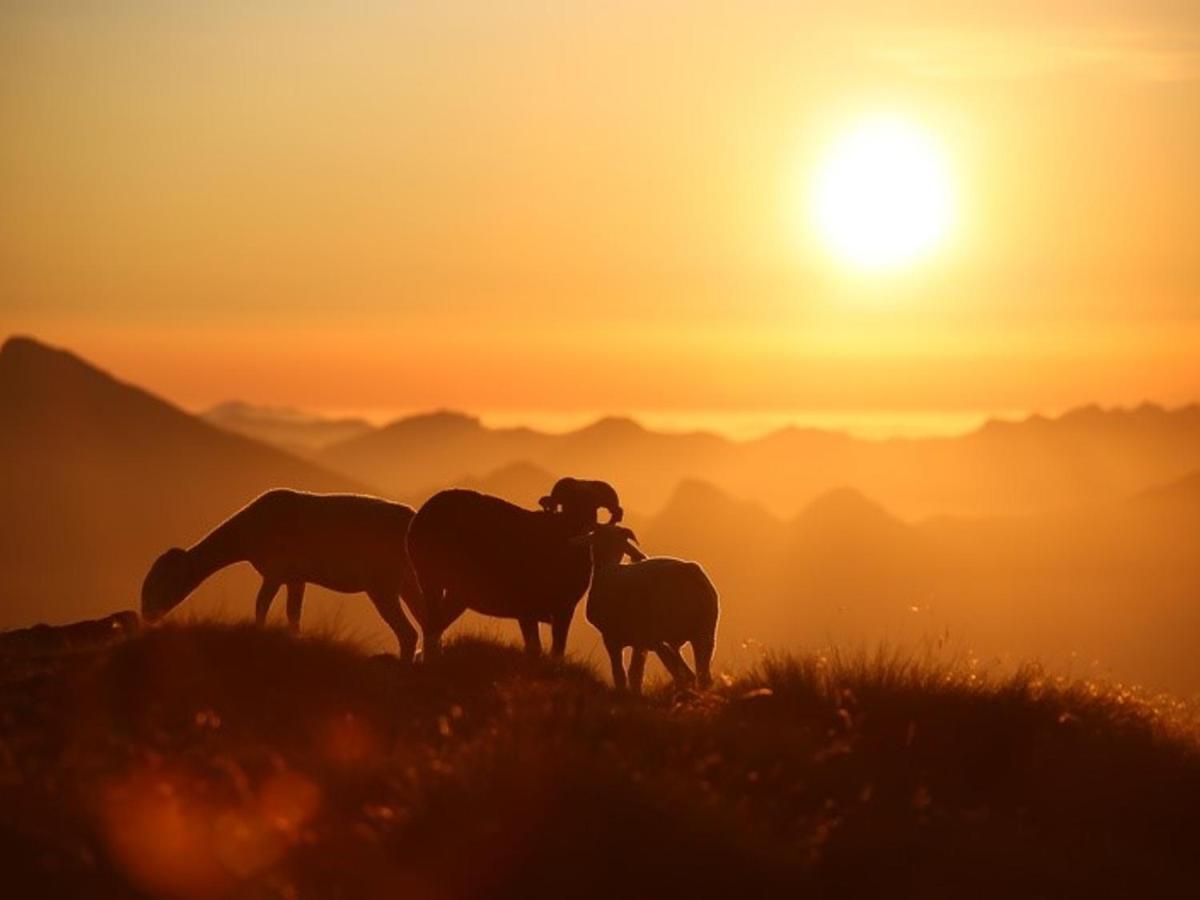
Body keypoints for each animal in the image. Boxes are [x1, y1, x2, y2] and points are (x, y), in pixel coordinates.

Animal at [142, 489, 424, 657]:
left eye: (163, 581)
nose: (147, 614)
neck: (245, 533)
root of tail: (410, 520)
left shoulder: (275, 573)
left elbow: (261, 605)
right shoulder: (295, 578)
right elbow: (293, 615)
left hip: (383, 584)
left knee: (408, 633)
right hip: (410, 583)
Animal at [408, 480, 624, 662]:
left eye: (594, 503)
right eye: (567, 502)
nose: (582, 522)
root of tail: (424, 514)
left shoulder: (563, 611)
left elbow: (557, 648)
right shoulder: (527, 609)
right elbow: (536, 648)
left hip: (454, 592)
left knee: (435, 624)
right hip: (432, 580)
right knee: (433, 624)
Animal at [583, 525, 715, 696]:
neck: (606, 565)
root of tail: (689, 574)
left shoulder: (612, 637)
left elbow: (623, 673)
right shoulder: (640, 644)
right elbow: (635, 673)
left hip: (660, 635)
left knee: (683, 675)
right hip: (704, 633)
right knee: (699, 676)